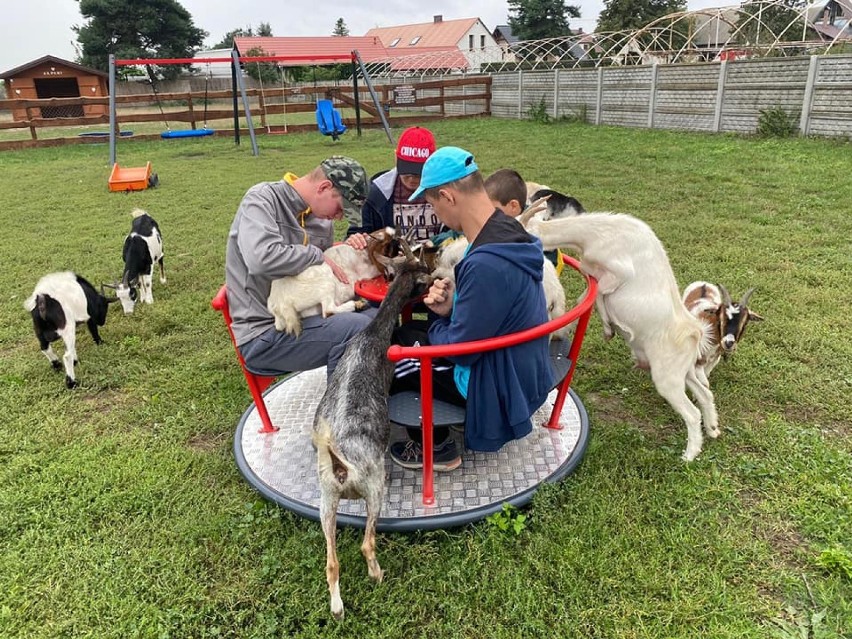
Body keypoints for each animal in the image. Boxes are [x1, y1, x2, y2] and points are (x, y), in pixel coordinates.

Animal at [268, 226, 398, 338]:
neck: (362, 253)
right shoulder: (366, 271)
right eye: (388, 252)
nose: (392, 277)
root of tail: (278, 303)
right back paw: (357, 305)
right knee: (328, 310)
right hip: (326, 281)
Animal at [312, 240, 430, 620]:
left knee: (331, 562)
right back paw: (377, 575)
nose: (433, 279)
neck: (373, 335)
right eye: (423, 274)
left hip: (326, 501)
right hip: (374, 487)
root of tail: (340, 468)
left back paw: (337, 608)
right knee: (366, 543)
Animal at [524, 212, 720, 462]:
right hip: (684, 372)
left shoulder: (618, 273)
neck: (599, 232)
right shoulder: (593, 271)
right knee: (705, 394)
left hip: (668, 379)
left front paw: (608, 328)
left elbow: (595, 295)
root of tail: (694, 332)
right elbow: (587, 296)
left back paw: (689, 455)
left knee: (692, 413)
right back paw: (713, 429)